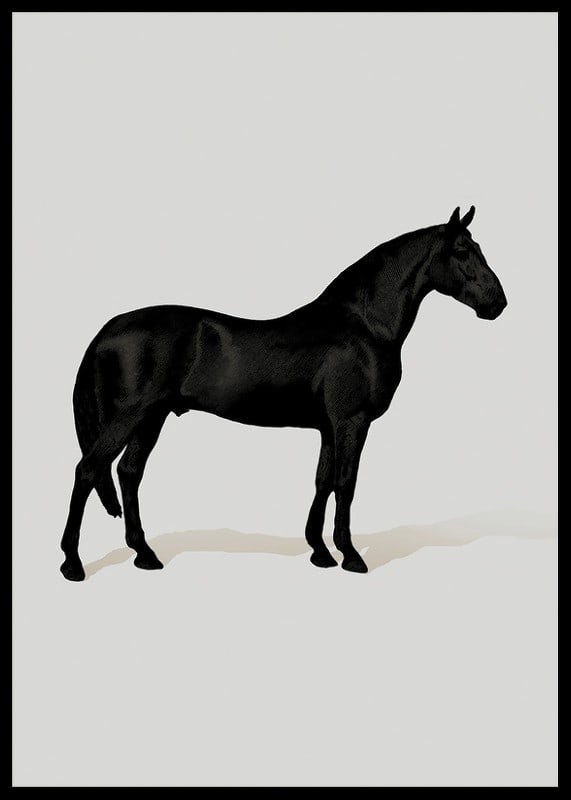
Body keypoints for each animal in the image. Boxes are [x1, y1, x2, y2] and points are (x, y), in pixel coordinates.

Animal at [60, 206, 507, 581]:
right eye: (463, 251)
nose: (498, 302)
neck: (363, 326)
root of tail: (109, 328)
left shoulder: (328, 427)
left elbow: (323, 482)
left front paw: (320, 552)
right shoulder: (352, 422)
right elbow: (346, 482)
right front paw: (350, 556)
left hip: (151, 419)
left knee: (128, 473)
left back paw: (145, 554)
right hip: (129, 417)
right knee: (88, 470)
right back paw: (72, 564)